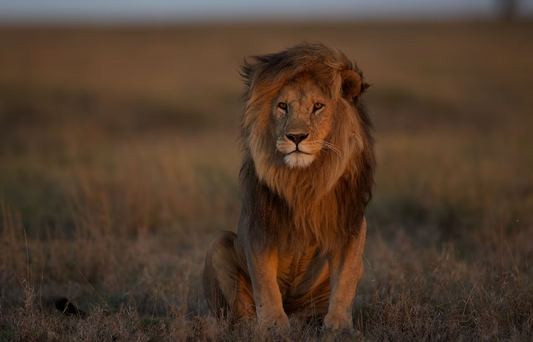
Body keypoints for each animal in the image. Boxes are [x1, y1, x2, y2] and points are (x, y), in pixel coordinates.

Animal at [203, 44, 374, 330]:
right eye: (282, 106)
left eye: (318, 106)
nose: (295, 137)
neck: (302, 180)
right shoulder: (259, 225)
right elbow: (265, 283)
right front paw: (273, 324)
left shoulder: (349, 224)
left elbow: (346, 279)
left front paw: (339, 325)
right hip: (218, 243)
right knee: (241, 311)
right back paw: (254, 326)